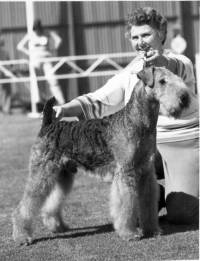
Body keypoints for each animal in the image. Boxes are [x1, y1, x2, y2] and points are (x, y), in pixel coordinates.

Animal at [11, 66, 190, 244]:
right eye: (162, 81)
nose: (185, 98)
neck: (137, 122)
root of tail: (48, 124)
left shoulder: (146, 171)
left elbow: (148, 202)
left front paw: (152, 230)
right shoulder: (126, 172)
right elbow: (126, 205)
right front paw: (129, 233)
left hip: (63, 174)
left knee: (52, 202)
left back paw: (57, 226)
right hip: (42, 172)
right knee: (24, 206)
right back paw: (22, 236)